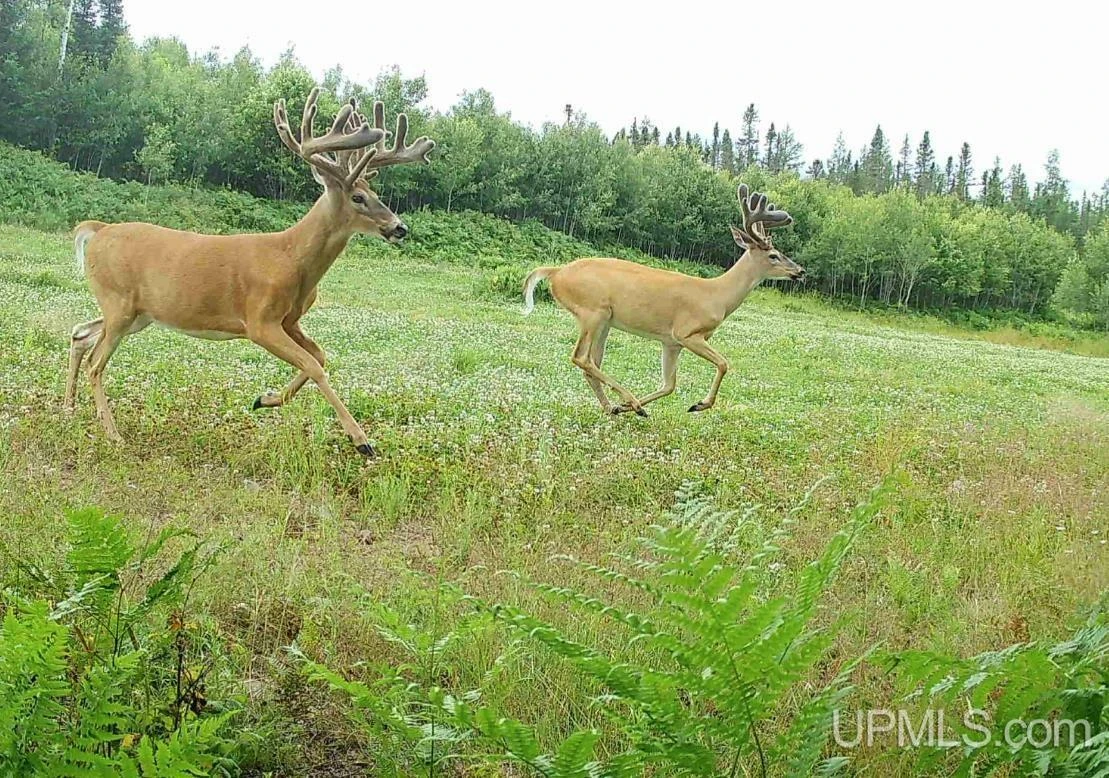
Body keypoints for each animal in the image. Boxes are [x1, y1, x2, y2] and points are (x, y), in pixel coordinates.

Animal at [64, 88, 434, 457]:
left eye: (376, 193)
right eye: (358, 197)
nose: (399, 228)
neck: (291, 258)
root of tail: (98, 230)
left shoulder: (290, 320)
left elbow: (319, 356)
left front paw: (265, 399)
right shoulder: (259, 320)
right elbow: (314, 365)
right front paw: (361, 440)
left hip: (138, 313)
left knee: (80, 334)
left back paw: (69, 408)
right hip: (118, 302)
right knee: (96, 363)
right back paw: (112, 433)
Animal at [521, 184, 803, 417]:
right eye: (774, 255)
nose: (800, 271)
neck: (718, 296)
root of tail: (556, 272)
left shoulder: (671, 342)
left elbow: (669, 385)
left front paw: (630, 408)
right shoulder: (687, 333)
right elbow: (724, 363)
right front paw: (699, 404)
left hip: (605, 321)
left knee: (591, 364)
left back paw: (616, 407)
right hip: (593, 310)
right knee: (581, 358)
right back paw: (630, 401)